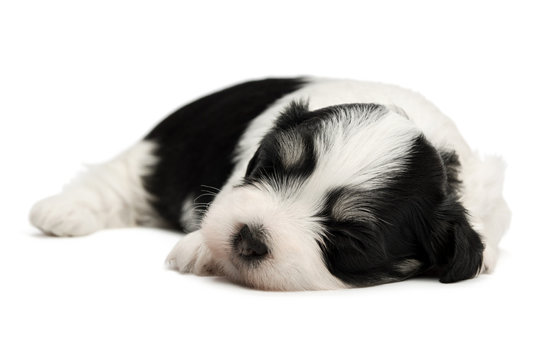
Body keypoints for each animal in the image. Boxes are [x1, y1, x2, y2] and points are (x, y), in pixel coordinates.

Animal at [29, 77, 510, 292]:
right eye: (269, 168)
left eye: (350, 239)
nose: (247, 238)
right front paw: (202, 248)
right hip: (158, 155)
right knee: (117, 179)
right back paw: (62, 211)